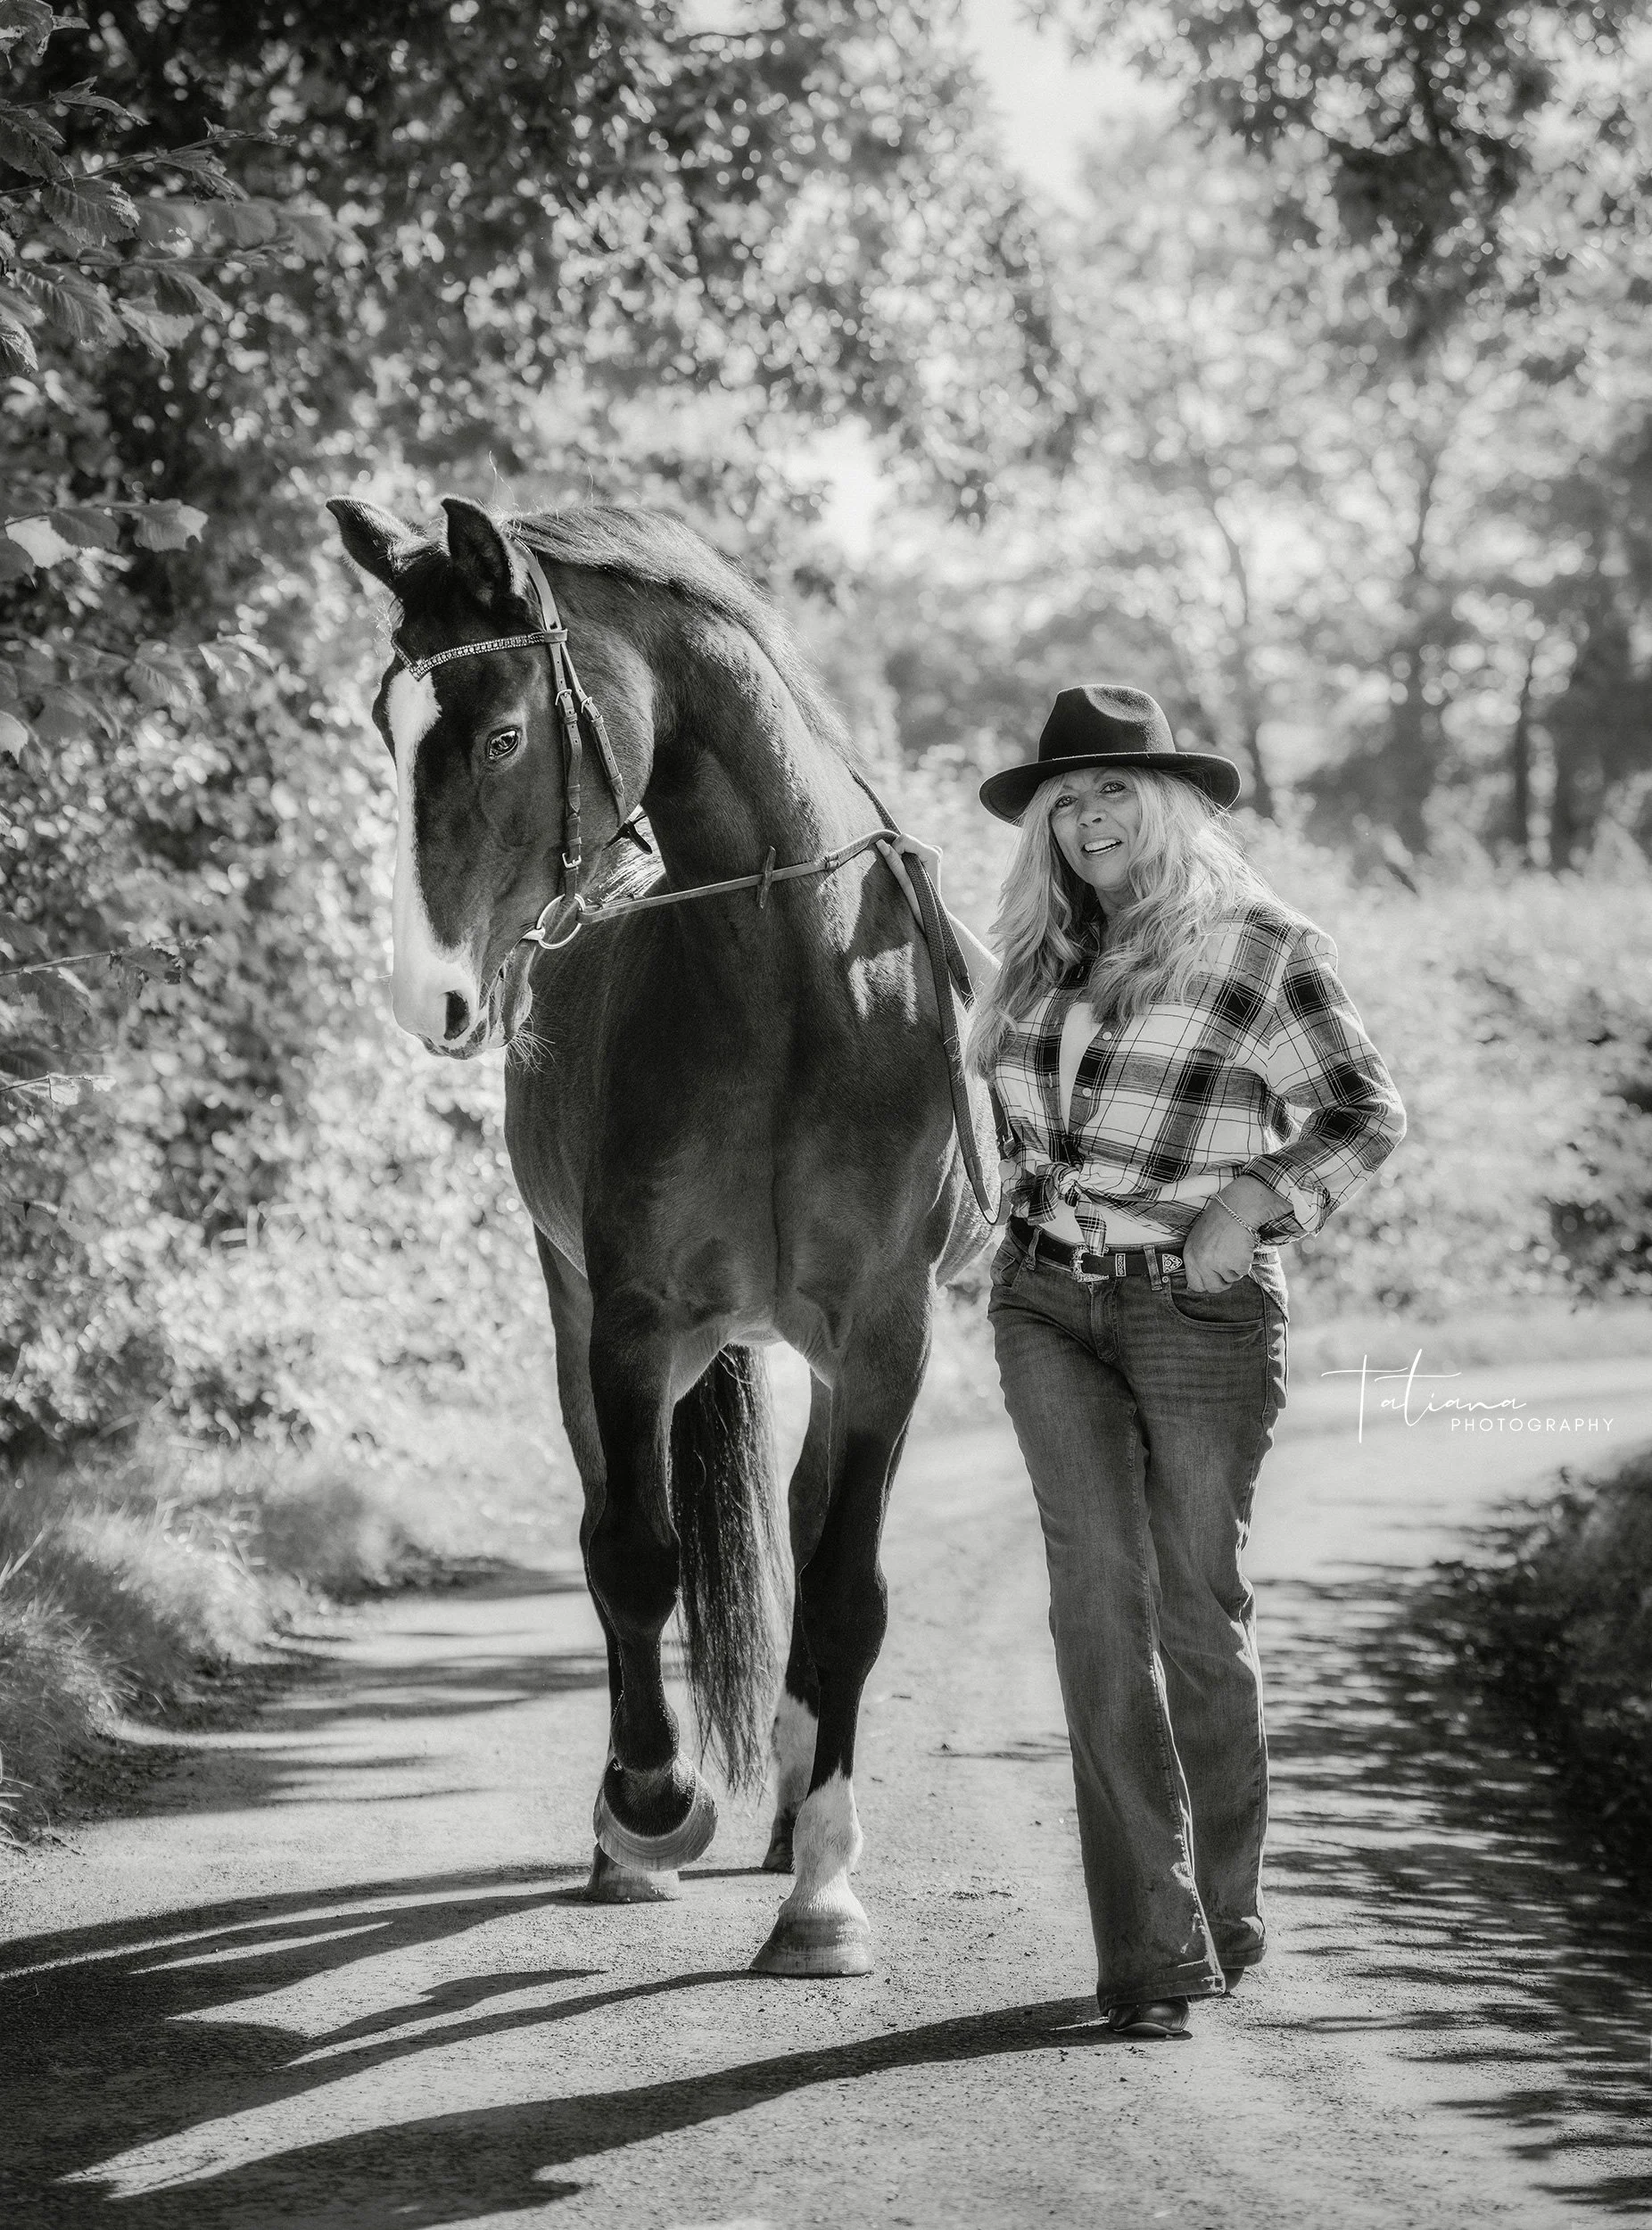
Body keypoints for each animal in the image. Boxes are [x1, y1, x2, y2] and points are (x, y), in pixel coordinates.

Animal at [328, 493, 988, 1976]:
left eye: (501, 735)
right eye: (387, 730)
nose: (428, 999)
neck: (796, 975)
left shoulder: (887, 1333)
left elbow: (845, 1586)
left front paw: (824, 1892)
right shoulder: (632, 1321)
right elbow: (635, 1555)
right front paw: (651, 1805)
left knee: (799, 1521)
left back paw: (794, 1806)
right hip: (583, 1312)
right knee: (606, 1527)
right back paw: (631, 1830)